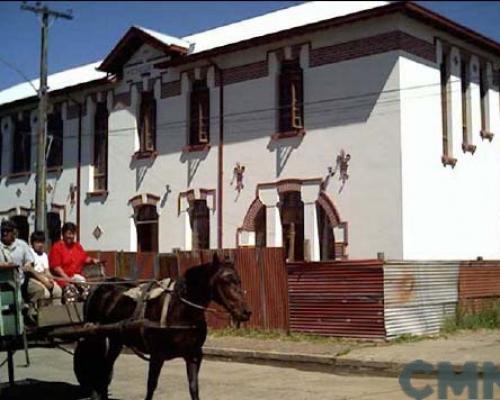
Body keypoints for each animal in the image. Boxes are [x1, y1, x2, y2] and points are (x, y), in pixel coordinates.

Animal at [72, 255, 252, 400]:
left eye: (238, 280)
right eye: (225, 280)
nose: (246, 312)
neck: (180, 309)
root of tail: (98, 287)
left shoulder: (193, 355)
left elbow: (194, 388)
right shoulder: (157, 355)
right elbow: (151, 386)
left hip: (117, 340)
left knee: (107, 368)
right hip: (97, 335)